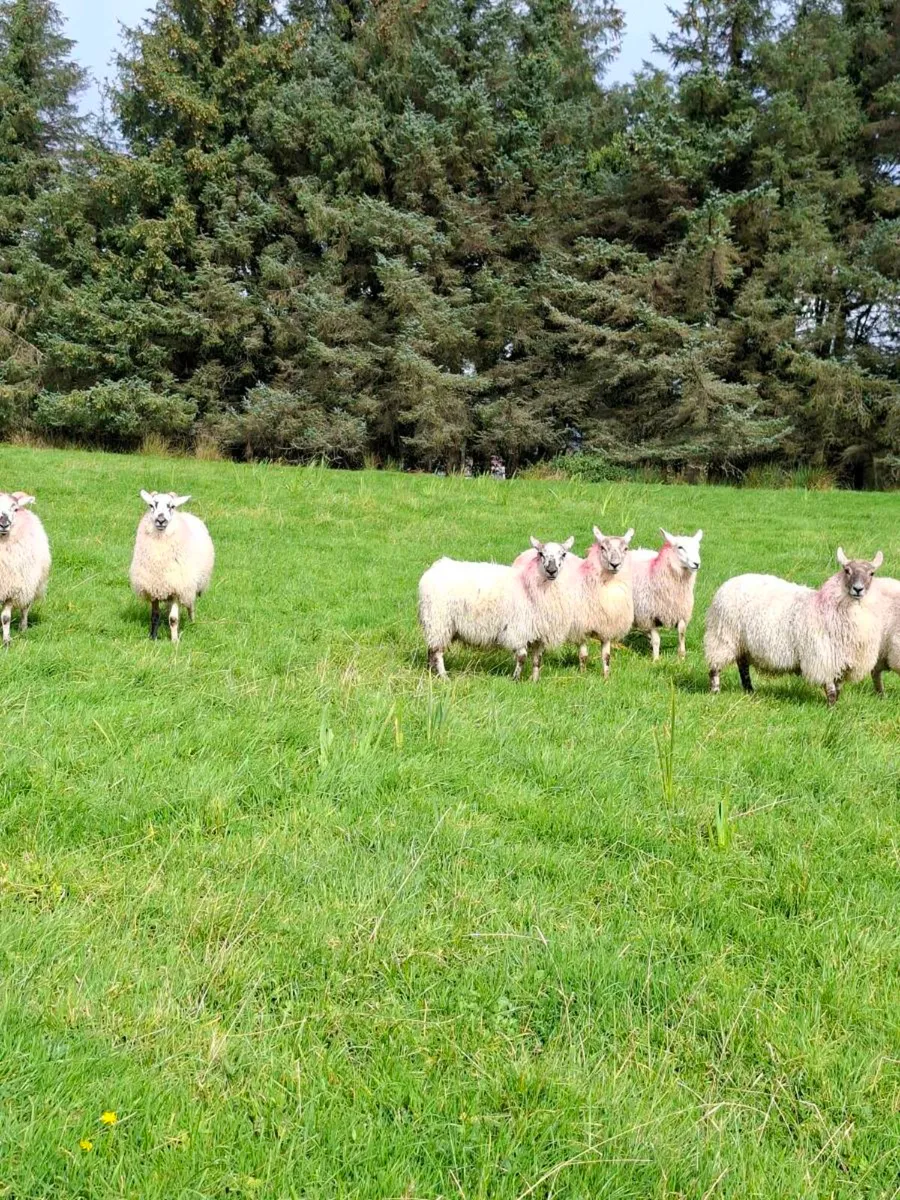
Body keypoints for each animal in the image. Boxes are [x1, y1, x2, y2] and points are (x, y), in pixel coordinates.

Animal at [0, 491, 51, 648]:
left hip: (30, 584)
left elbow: (5, 617)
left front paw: (6, 642)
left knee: (25, 607)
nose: (4, 524)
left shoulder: (12, 589)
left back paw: (23, 628)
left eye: (14, 509)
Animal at [130, 491, 215, 643]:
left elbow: (174, 619)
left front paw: (174, 641)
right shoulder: (154, 588)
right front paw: (153, 637)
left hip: (191, 584)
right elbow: (154, 616)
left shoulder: (177, 588)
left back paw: (192, 622)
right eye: (151, 505)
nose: (161, 520)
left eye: (172, 506)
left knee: (190, 604)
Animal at [418, 536, 574, 681]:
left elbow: (537, 659)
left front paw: (535, 681)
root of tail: (434, 569)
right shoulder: (518, 629)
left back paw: (431, 672)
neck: (529, 584)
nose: (551, 570)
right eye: (541, 553)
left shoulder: (539, 634)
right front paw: (515, 679)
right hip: (438, 621)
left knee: (431, 649)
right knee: (437, 651)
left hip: (438, 624)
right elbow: (522, 656)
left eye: (563, 554)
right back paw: (444, 677)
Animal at [630, 529, 703, 660]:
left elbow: (681, 634)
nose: (696, 563)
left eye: (697, 547)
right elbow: (656, 640)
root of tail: (638, 550)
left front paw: (682, 657)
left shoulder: (681, 612)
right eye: (680, 547)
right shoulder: (650, 615)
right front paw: (656, 659)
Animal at [704, 548, 884, 706]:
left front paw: (836, 707)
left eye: (872, 573)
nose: (858, 589)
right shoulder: (822, 658)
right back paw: (715, 691)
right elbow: (831, 689)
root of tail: (730, 582)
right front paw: (831, 709)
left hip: (743, 643)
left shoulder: (841, 661)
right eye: (847, 570)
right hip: (722, 636)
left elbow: (838, 688)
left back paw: (749, 690)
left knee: (742, 665)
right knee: (715, 666)